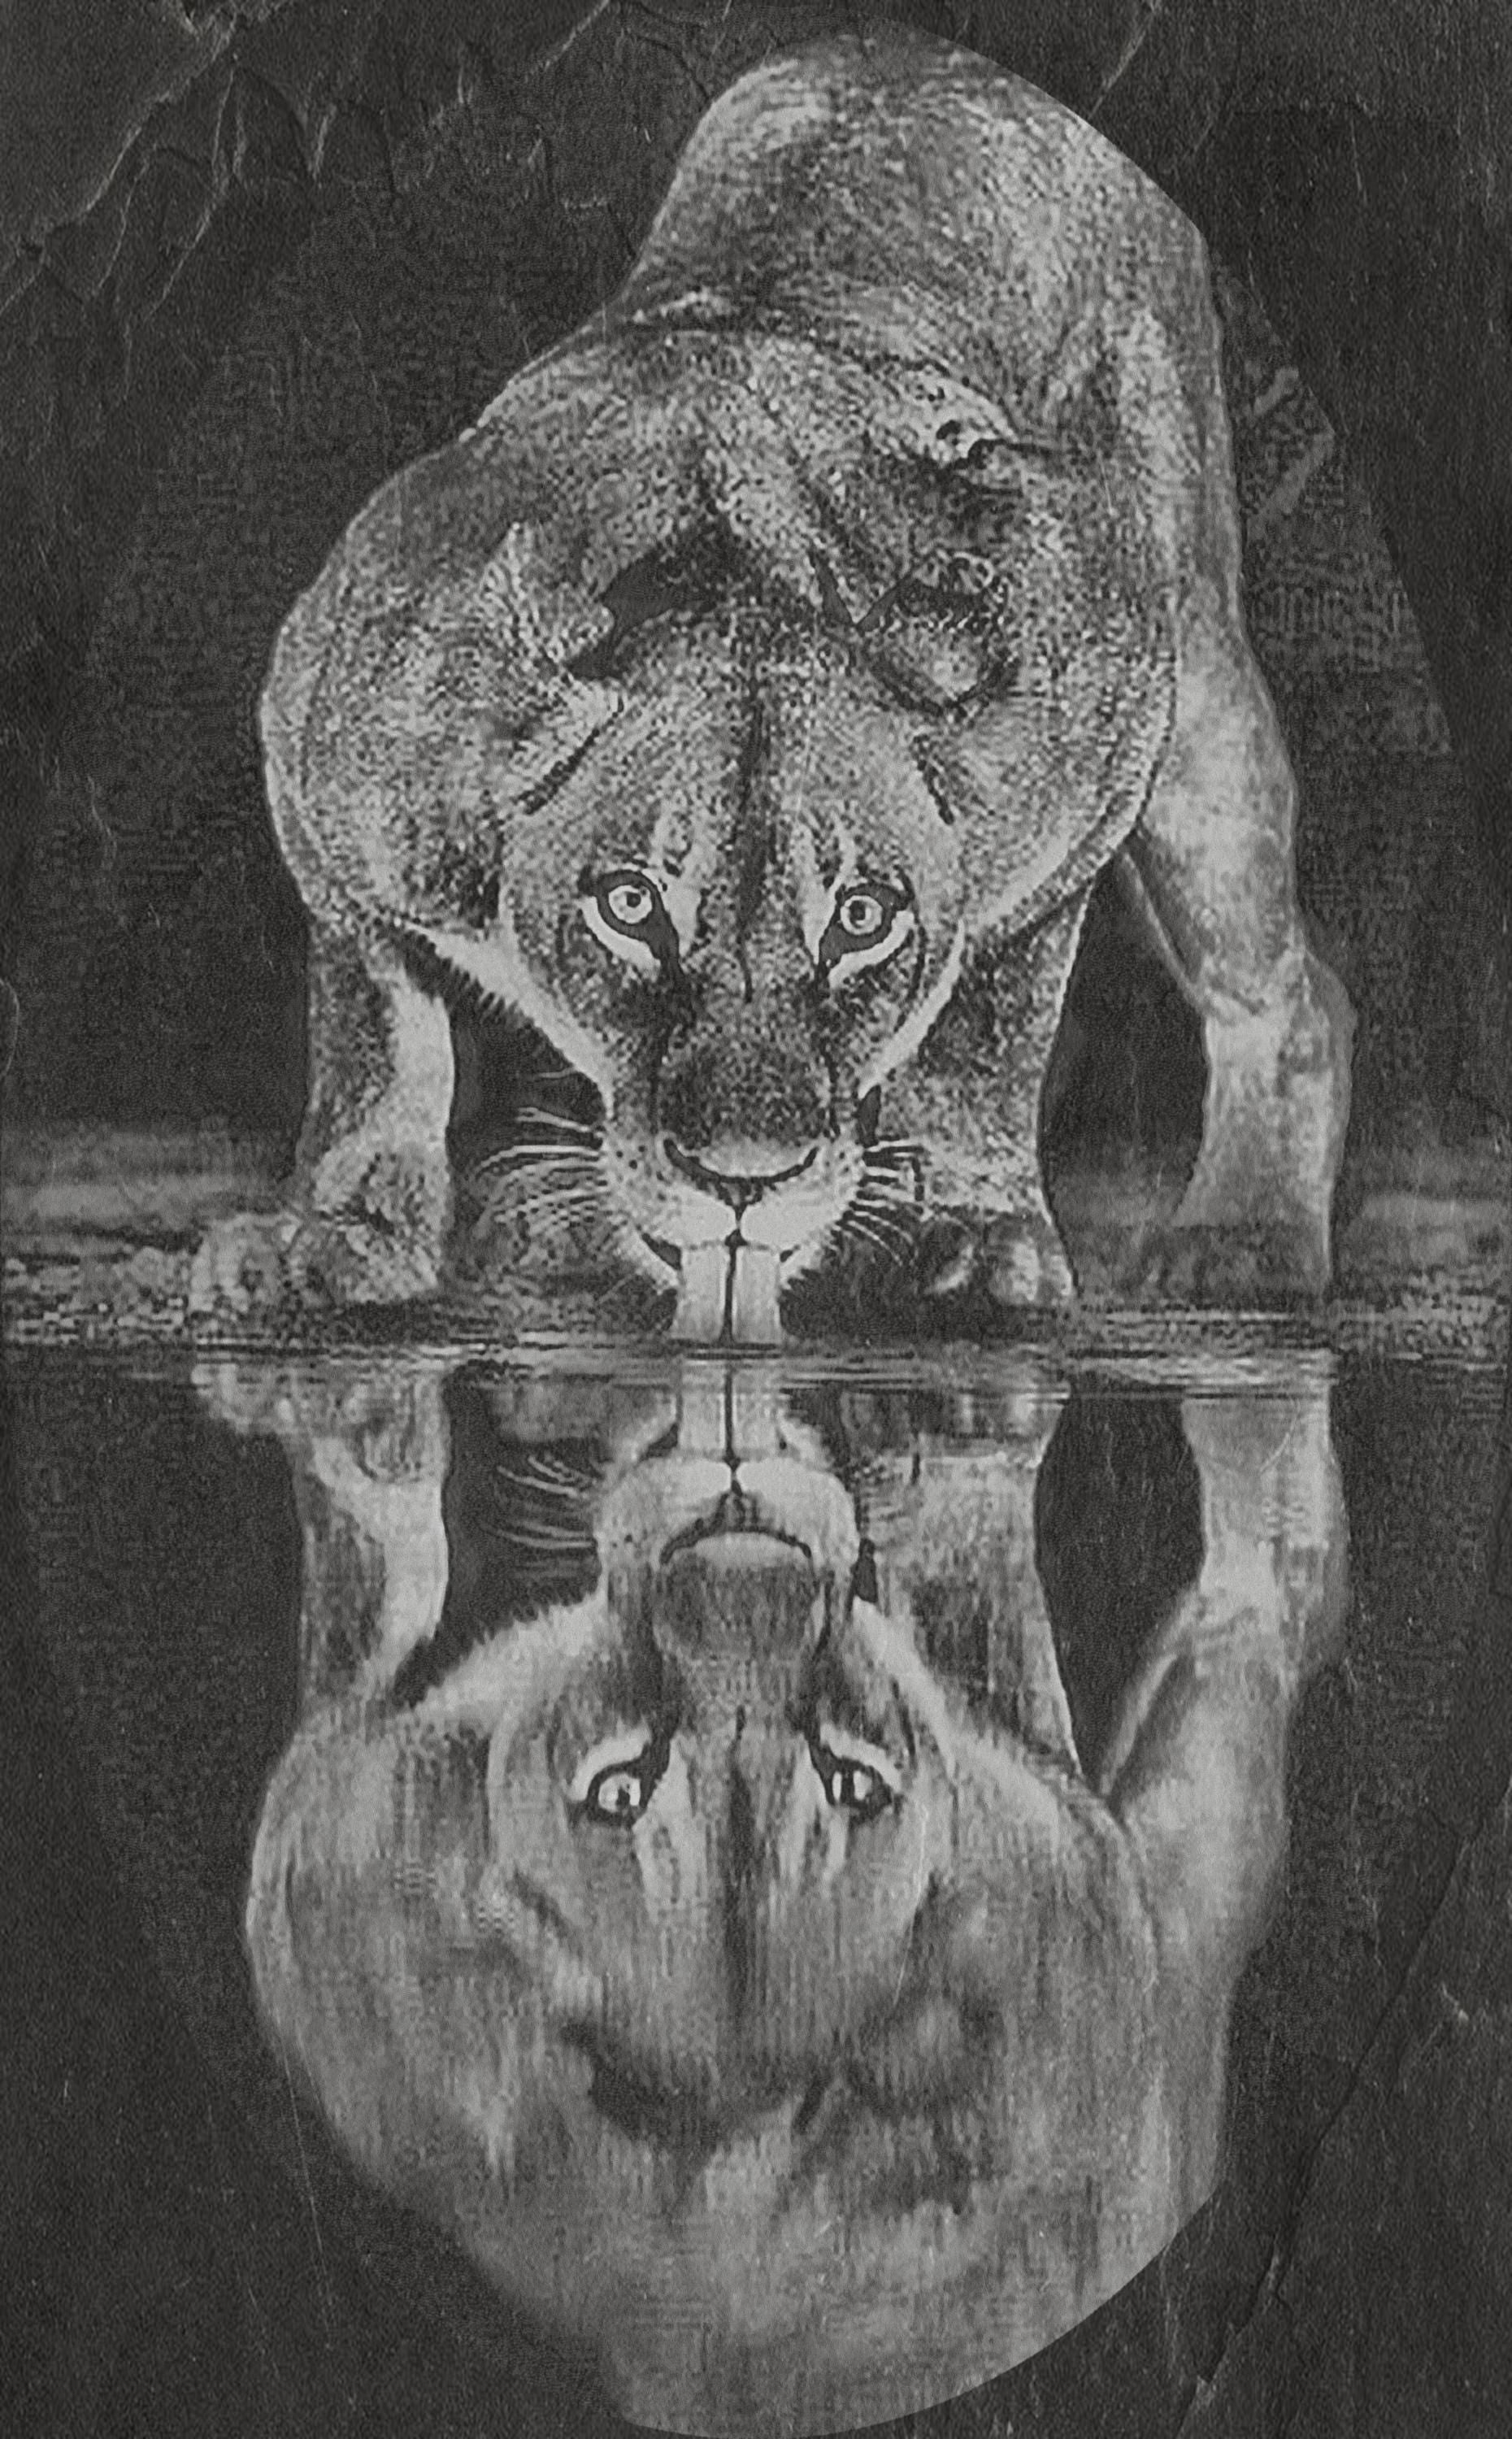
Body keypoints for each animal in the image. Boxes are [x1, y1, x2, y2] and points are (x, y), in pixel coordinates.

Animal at [191, 28, 1353, 1343]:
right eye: (629, 905)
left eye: (863, 920)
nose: (742, 1181)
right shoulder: (328, 775)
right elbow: (377, 1034)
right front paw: (338, 1238)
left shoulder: (1096, 689)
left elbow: (989, 1029)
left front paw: (974, 1234)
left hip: (1200, 701)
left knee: (1290, 993)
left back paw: (1247, 1234)